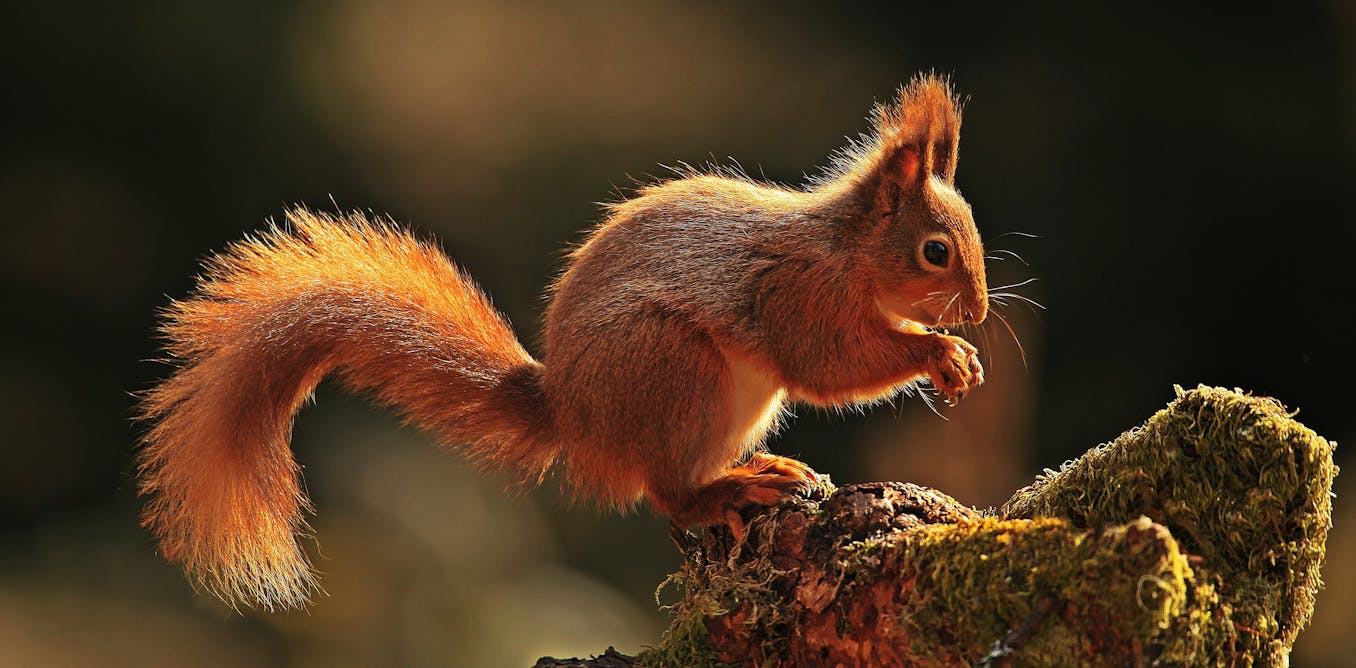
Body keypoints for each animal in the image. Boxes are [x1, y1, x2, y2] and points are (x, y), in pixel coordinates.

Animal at [137, 74, 987, 609]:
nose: (977, 312)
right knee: (668, 494)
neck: (845, 251)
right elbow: (828, 365)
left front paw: (958, 355)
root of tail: (575, 418)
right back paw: (730, 489)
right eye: (935, 251)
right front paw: (937, 353)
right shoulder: (797, 297)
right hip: (673, 370)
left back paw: (756, 468)